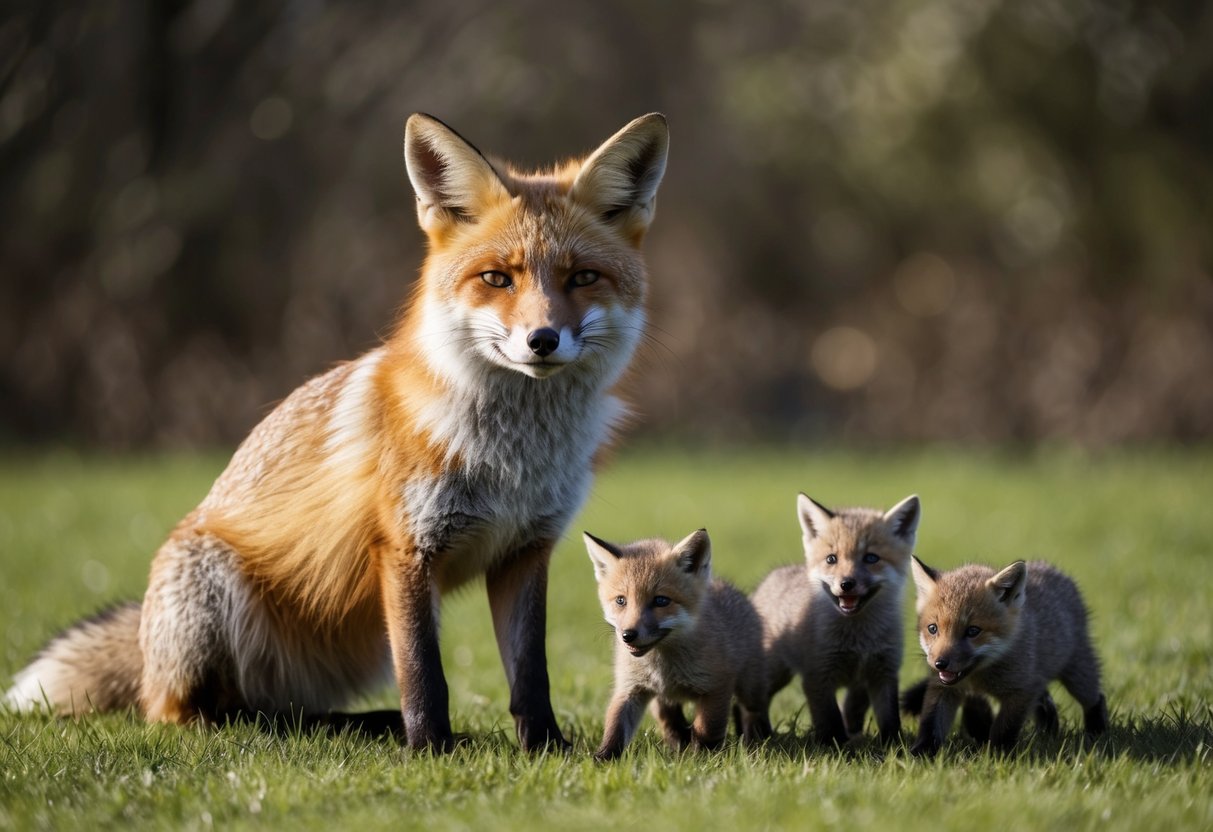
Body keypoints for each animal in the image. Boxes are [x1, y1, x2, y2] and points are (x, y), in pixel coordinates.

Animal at [4, 113, 670, 752]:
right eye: (497, 279)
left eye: (582, 278)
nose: (542, 340)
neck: (513, 457)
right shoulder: (405, 548)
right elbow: (424, 673)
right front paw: (431, 751)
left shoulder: (525, 550)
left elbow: (531, 673)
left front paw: (545, 748)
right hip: (213, 594)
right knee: (205, 717)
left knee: (282, 709)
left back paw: (360, 726)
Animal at [584, 529, 769, 760]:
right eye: (621, 600)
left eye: (661, 601)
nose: (628, 635)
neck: (664, 666)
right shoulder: (630, 687)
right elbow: (615, 726)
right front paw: (604, 758)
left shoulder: (717, 686)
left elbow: (707, 728)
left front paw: (701, 757)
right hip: (661, 700)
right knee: (669, 720)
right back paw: (676, 745)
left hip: (750, 687)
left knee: (752, 710)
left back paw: (756, 739)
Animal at [750, 493, 920, 745]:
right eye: (831, 559)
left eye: (871, 558)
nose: (846, 584)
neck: (858, 639)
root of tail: (766, 582)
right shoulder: (818, 674)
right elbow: (830, 719)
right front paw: (836, 747)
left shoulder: (882, 672)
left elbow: (887, 718)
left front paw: (893, 747)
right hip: (773, 674)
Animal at [907, 556, 1109, 757]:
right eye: (933, 628)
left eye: (973, 631)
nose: (940, 663)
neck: (978, 679)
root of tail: (1050, 568)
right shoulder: (943, 688)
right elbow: (931, 724)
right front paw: (921, 753)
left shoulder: (1021, 691)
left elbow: (1004, 728)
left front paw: (997, 755)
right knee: (1044, 701)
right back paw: (1046, 733)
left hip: (1078, 675)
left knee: (1095, 698)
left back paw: (1097, 733)